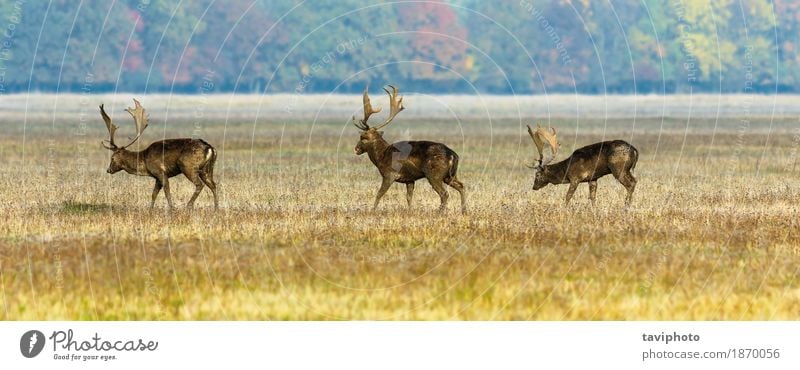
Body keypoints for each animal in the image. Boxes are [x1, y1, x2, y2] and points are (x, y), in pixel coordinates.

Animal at [352, 83, 468, 211]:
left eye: (362, 137)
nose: (356, 149)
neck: (381, 157)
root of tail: (453, 155)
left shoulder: (389, 174)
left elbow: (379, 194)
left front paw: (372, 210)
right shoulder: (409, 179)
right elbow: (409, 197)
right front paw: (410, 211)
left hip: (434, 174)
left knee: (444, 193)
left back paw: (440, 212)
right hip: (450, 175)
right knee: (462, 186)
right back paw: (463, 210)